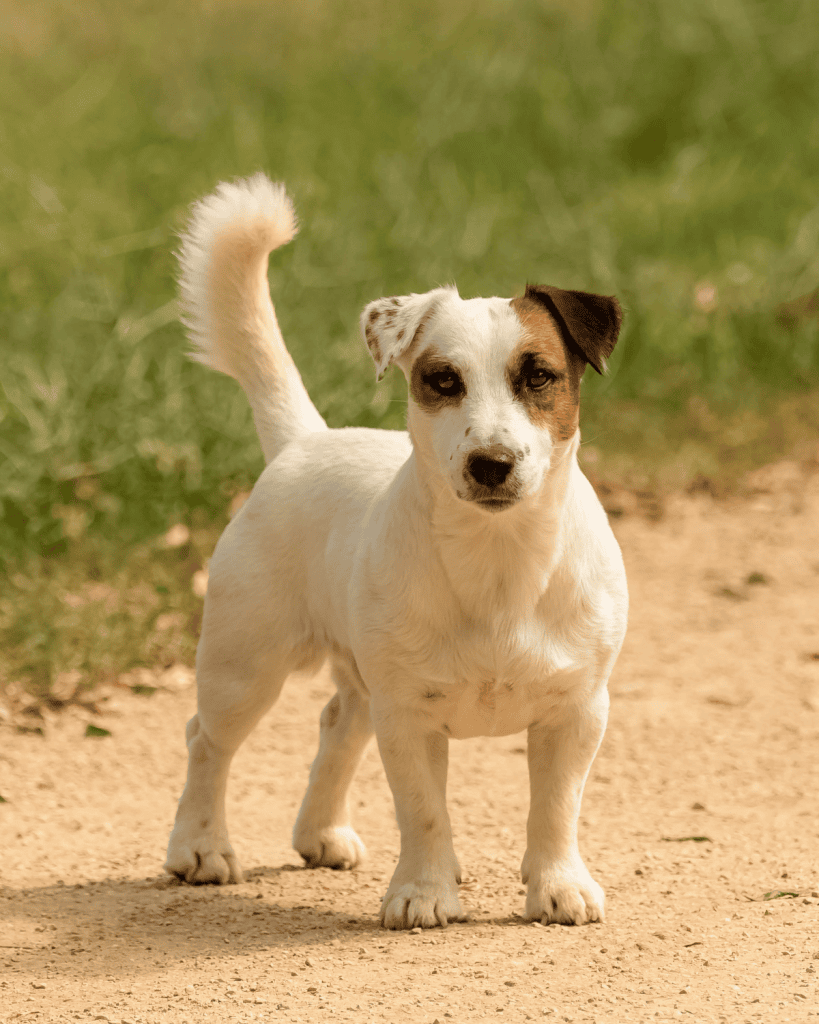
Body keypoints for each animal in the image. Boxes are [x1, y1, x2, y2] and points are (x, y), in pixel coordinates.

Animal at [164, 174, 626, 929]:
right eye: (442, 380)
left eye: (539, 376)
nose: (491, 463)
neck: (497, 564)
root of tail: (304, 440)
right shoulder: (408, 716)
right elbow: (424, 812)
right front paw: (424, 892)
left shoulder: (576, 710)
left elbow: (555, 810)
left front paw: (557, 886)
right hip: (246, 664)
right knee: (206, 740)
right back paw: (200, 848)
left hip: (360, 675)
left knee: (335, 726)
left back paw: (320, 832)